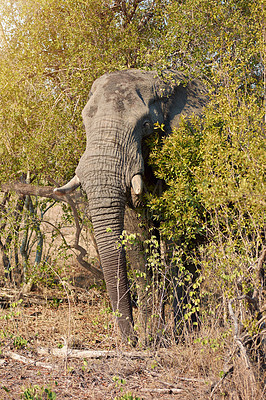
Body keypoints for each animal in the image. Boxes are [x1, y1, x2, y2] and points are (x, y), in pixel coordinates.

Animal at [54, 69, 208, 344]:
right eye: (85, 122)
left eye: (145, 125)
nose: (131, 339)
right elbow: (138, 238)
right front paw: (150, 338)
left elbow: (179, 238)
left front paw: (180, 338)